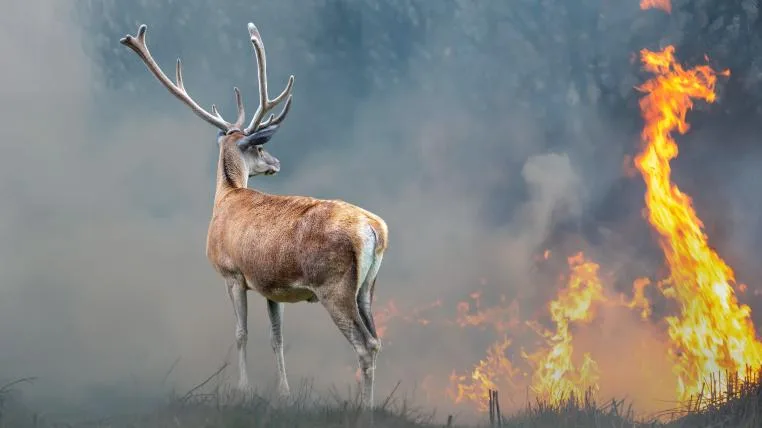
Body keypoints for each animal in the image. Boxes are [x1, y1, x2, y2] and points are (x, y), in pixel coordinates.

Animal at [119, 22, 388, 409]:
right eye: (260, 149)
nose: (276, 162)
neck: (226, 197)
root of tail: (374, 229)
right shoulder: (271, 286)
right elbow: (276, 337)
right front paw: (285, 394)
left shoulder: (231, 272)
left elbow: (241, 333)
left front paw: (243, 390)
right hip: (368, 286)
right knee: (377, 340)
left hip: (333, 285)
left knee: (365, 345)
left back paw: (364, 410)